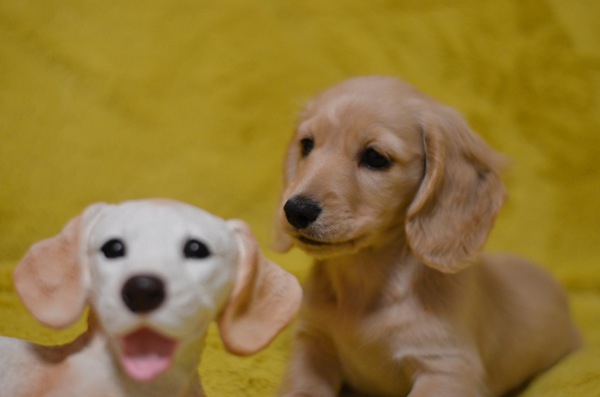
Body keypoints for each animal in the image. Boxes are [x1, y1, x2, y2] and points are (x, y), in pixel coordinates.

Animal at [276, 76, 580, 394]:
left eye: (375, 157)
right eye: (306, 145)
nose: (296, 210)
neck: (364, 289)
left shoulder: (447, 367)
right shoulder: (312, 343)